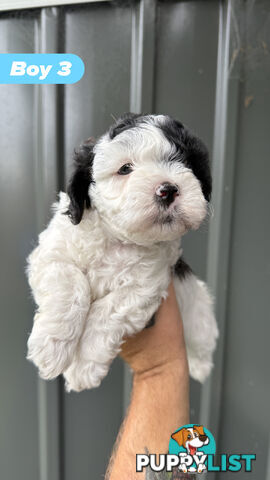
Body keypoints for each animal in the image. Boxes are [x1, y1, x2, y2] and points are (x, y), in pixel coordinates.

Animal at [26, 114, 218, 392]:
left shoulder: (147, 285)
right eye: (125, 169)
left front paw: (83, 366)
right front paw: (51, 348)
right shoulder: (51, 253)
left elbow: (107, 312)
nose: (168, 189)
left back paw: (200, 365)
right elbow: (72, 284)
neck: (117, 238)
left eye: (185, 162)